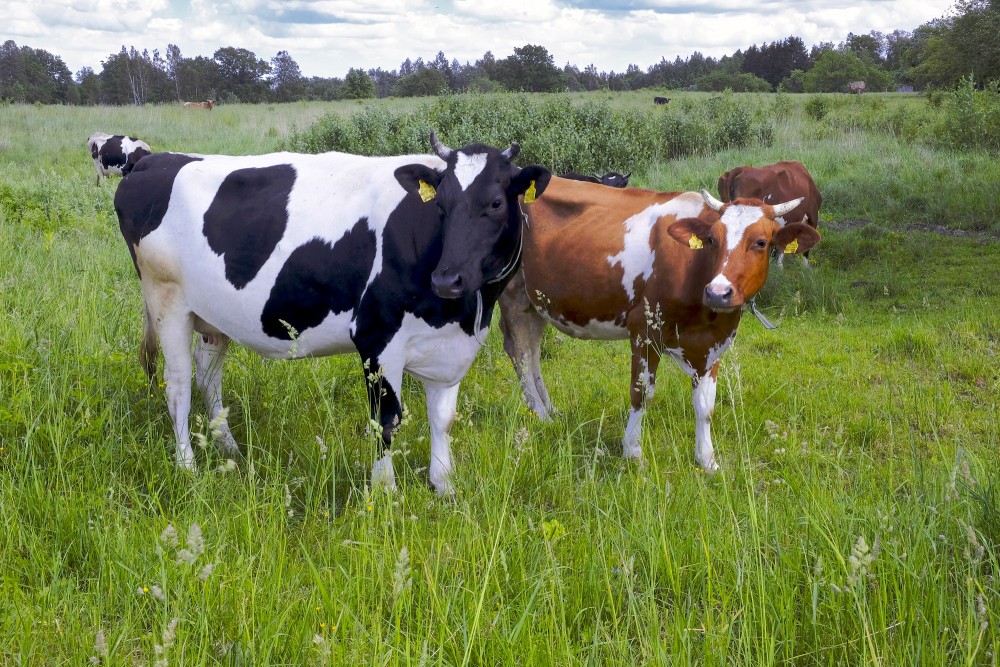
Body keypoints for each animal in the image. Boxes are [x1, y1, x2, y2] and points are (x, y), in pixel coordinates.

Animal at [114, 132, 551, 494]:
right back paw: (186, 465)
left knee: (207, 375)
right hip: (166, 300)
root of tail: (155, 161)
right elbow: (386, 420)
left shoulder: (449, 347)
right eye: (440, 205)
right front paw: (385, 493)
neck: (460, 313)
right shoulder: (376, 338)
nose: (446, 279)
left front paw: (444, 487)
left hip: (213, 316)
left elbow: (442, 418)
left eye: (496, 204)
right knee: (178, 384)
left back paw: (230, 448)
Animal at [498, 178, 818, 474]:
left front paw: (707, 461)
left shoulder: (713, 343)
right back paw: (540, 415)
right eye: (712, 240)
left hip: (537, 301)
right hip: (512, 293)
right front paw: (632, 452)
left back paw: (550, 410)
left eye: (761, 242)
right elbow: (641, 393)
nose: (718, 292)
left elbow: (706, 406)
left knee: (532, 350)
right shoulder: (645, 330)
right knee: (520, 353)